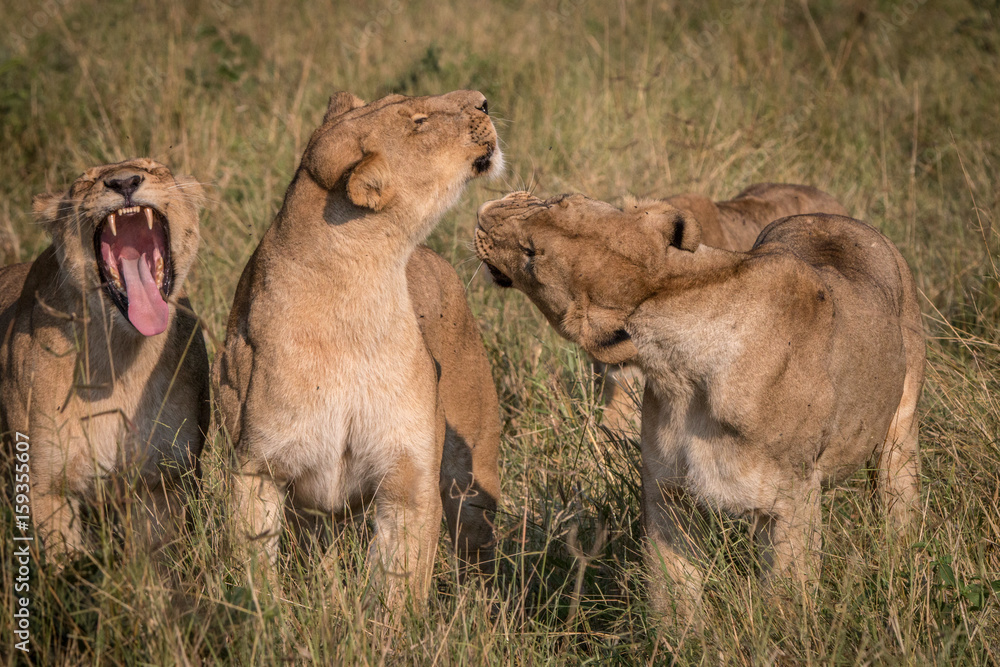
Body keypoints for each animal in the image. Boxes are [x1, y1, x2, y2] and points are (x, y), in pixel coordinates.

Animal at [0, 158, 210, 560]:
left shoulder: (163, 480)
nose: (124, 182)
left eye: (153, 168)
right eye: (85, 182)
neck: (121, 358)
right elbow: (66, 567)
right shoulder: (46, 486)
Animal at [213, 90, 503, 607]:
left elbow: (400, 586)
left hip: (472, 474)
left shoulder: (409, 478)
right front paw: (262, 614)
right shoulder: (258, 468)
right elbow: (254, 568)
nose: (483, 100)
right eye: (418, 121)